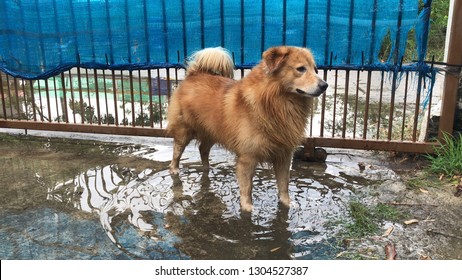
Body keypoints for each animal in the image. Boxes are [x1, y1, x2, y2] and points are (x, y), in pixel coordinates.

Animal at [168, 46, 326, 212]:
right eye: (301, 69)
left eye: (315, 69)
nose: (325, 85)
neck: (276, 102)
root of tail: (194, 74)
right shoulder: (247, 158)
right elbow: (247, 188)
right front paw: (247, 208)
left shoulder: (283, 156)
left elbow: (284, 186)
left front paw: (286, 204)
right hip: (184, 132)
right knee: (177, 152)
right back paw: (175, 170)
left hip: (211, 132)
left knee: (203, 149)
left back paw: (206, 168)